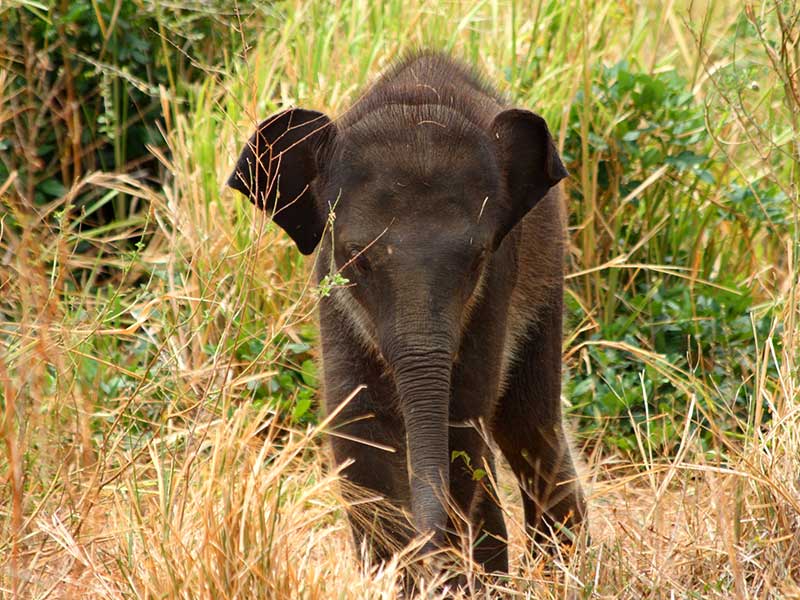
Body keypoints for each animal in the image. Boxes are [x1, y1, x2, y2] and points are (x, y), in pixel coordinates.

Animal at [228, 51, 586, 574]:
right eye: (356, 258)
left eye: (477, 259)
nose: (430, 546)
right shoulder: (332, 295)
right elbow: (359, 425)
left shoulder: (498, 280)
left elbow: (461, 420)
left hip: (550, 272)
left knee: (530, 427)